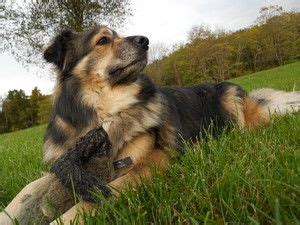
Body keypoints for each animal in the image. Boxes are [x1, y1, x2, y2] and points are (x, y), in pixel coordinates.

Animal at [0, 25, 300, 224]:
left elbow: (89, 202)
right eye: (103, 40)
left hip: (230, 96)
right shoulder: (63, 163)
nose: (144, 40)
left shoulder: (150, 161)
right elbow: (27, 191)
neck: (101, 115)